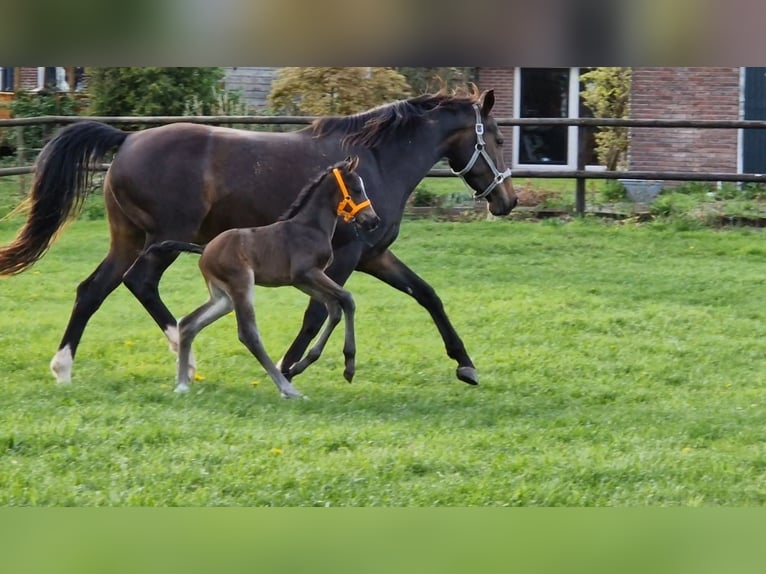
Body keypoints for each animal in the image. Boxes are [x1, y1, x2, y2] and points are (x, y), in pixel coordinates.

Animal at [148, 158, 380, 400]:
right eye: (357, 189)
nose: (373, 220)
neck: (311, 227)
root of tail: (204, 248)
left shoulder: (303, 281)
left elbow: (334, 307)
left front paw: (304, 364)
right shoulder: (307, 273)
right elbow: (347, 299)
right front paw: (348, 365)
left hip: (223, 298)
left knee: (188, 323)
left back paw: (182, 384)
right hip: (242, 284)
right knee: (248, 334)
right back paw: (287, 389)